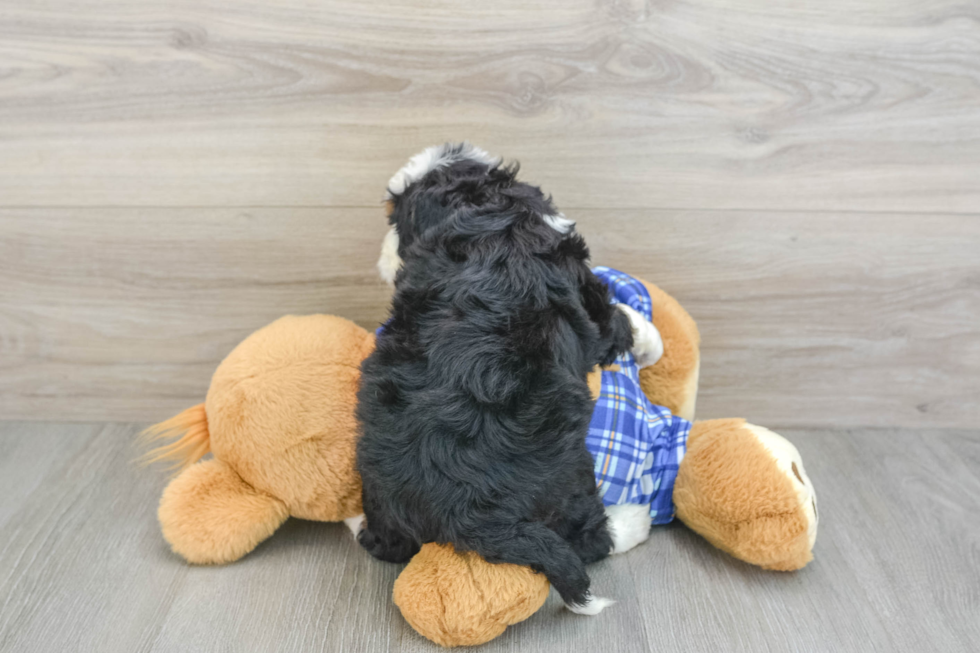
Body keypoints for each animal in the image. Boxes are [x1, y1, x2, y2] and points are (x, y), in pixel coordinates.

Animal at [356, 143, 656, 612]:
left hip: (376, 473)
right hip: (572, 475)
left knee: (388, 545)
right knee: (588, 539)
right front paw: (649, 341)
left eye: (395, 221)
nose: (382, 258)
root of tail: (465, 509)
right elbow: (618, 321)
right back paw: (634, 521)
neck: (485, 207)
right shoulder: (588, 298)